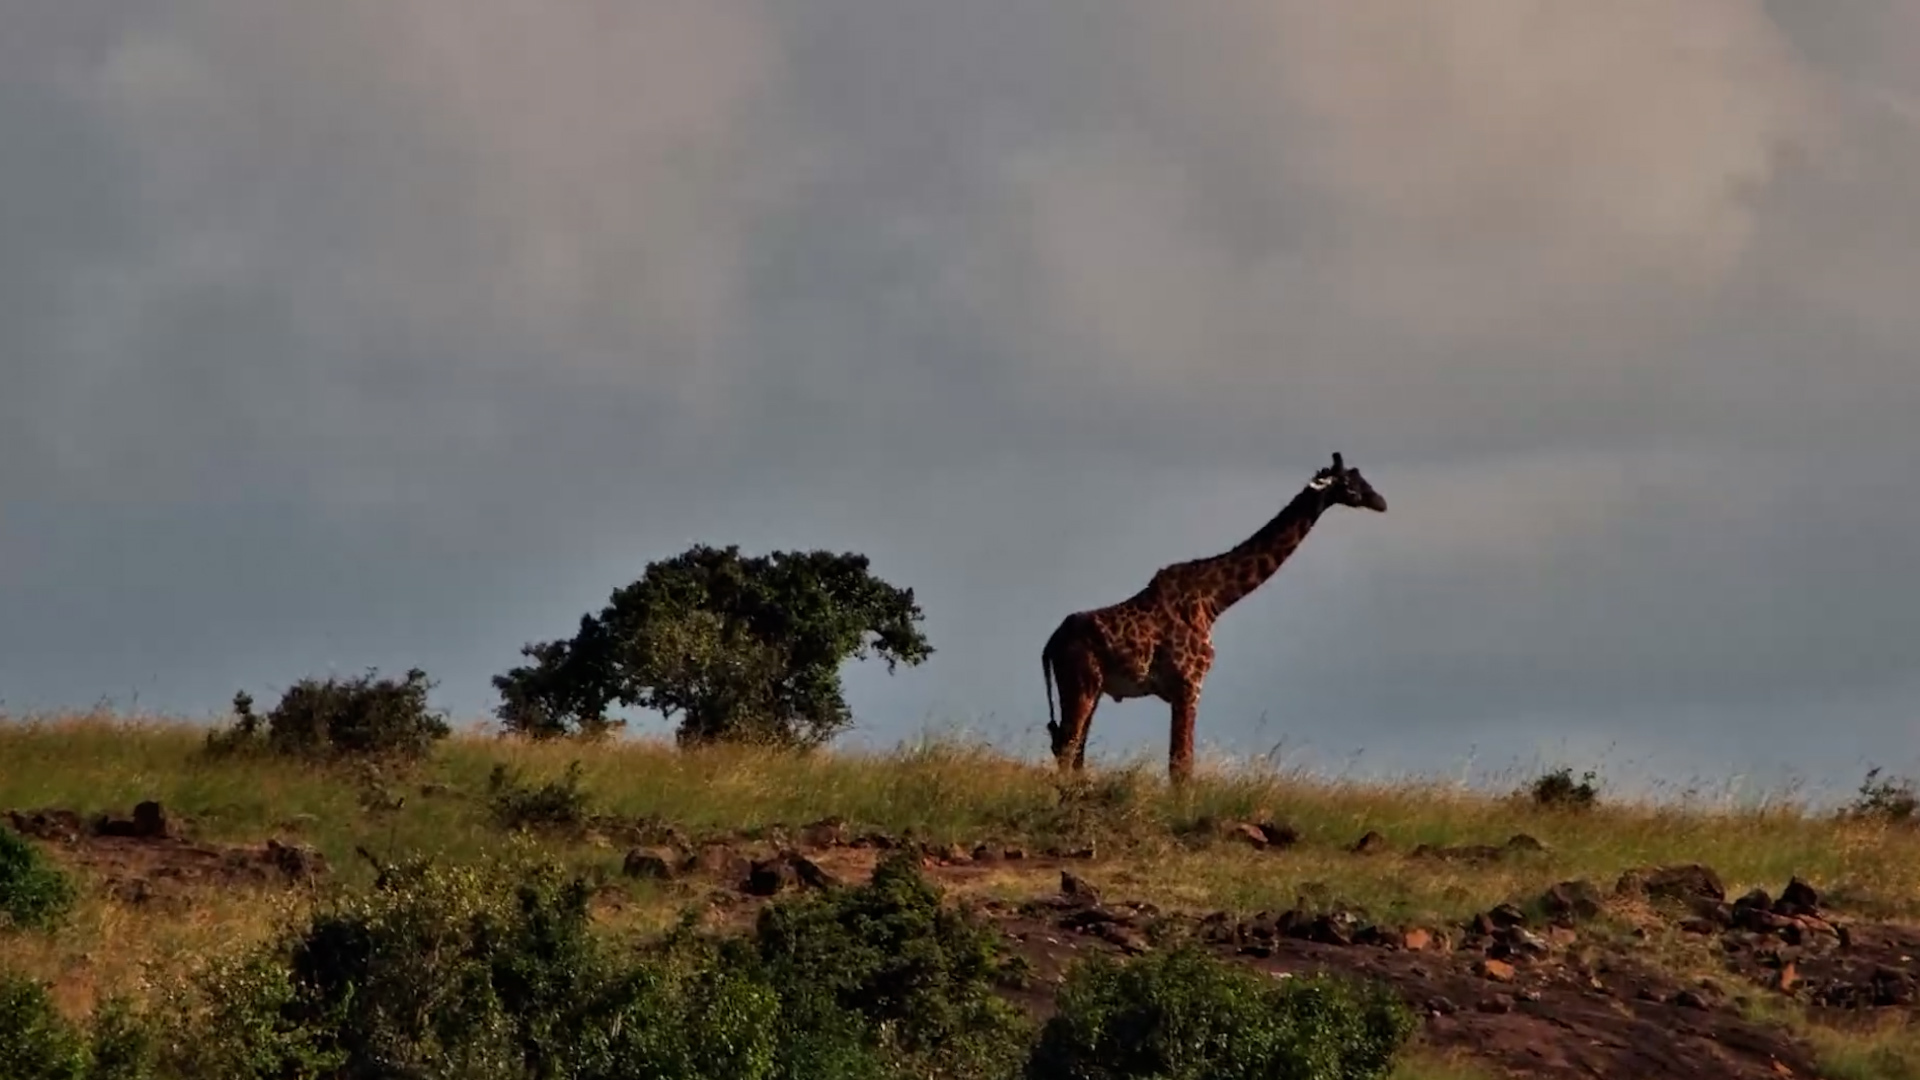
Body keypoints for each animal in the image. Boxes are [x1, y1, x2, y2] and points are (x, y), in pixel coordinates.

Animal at [1041, 452, 1387, 783]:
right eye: (1349, 483)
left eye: (1360, 475)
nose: (1381, 502)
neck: (1215, 601)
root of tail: (1049, 645)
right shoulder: (1189, 684)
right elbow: (1181, 767)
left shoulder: (1184, 688)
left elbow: (1180, 764)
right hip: (1081, 682)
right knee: (1067, 744)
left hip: (1093, 687)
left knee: (1073, 748)